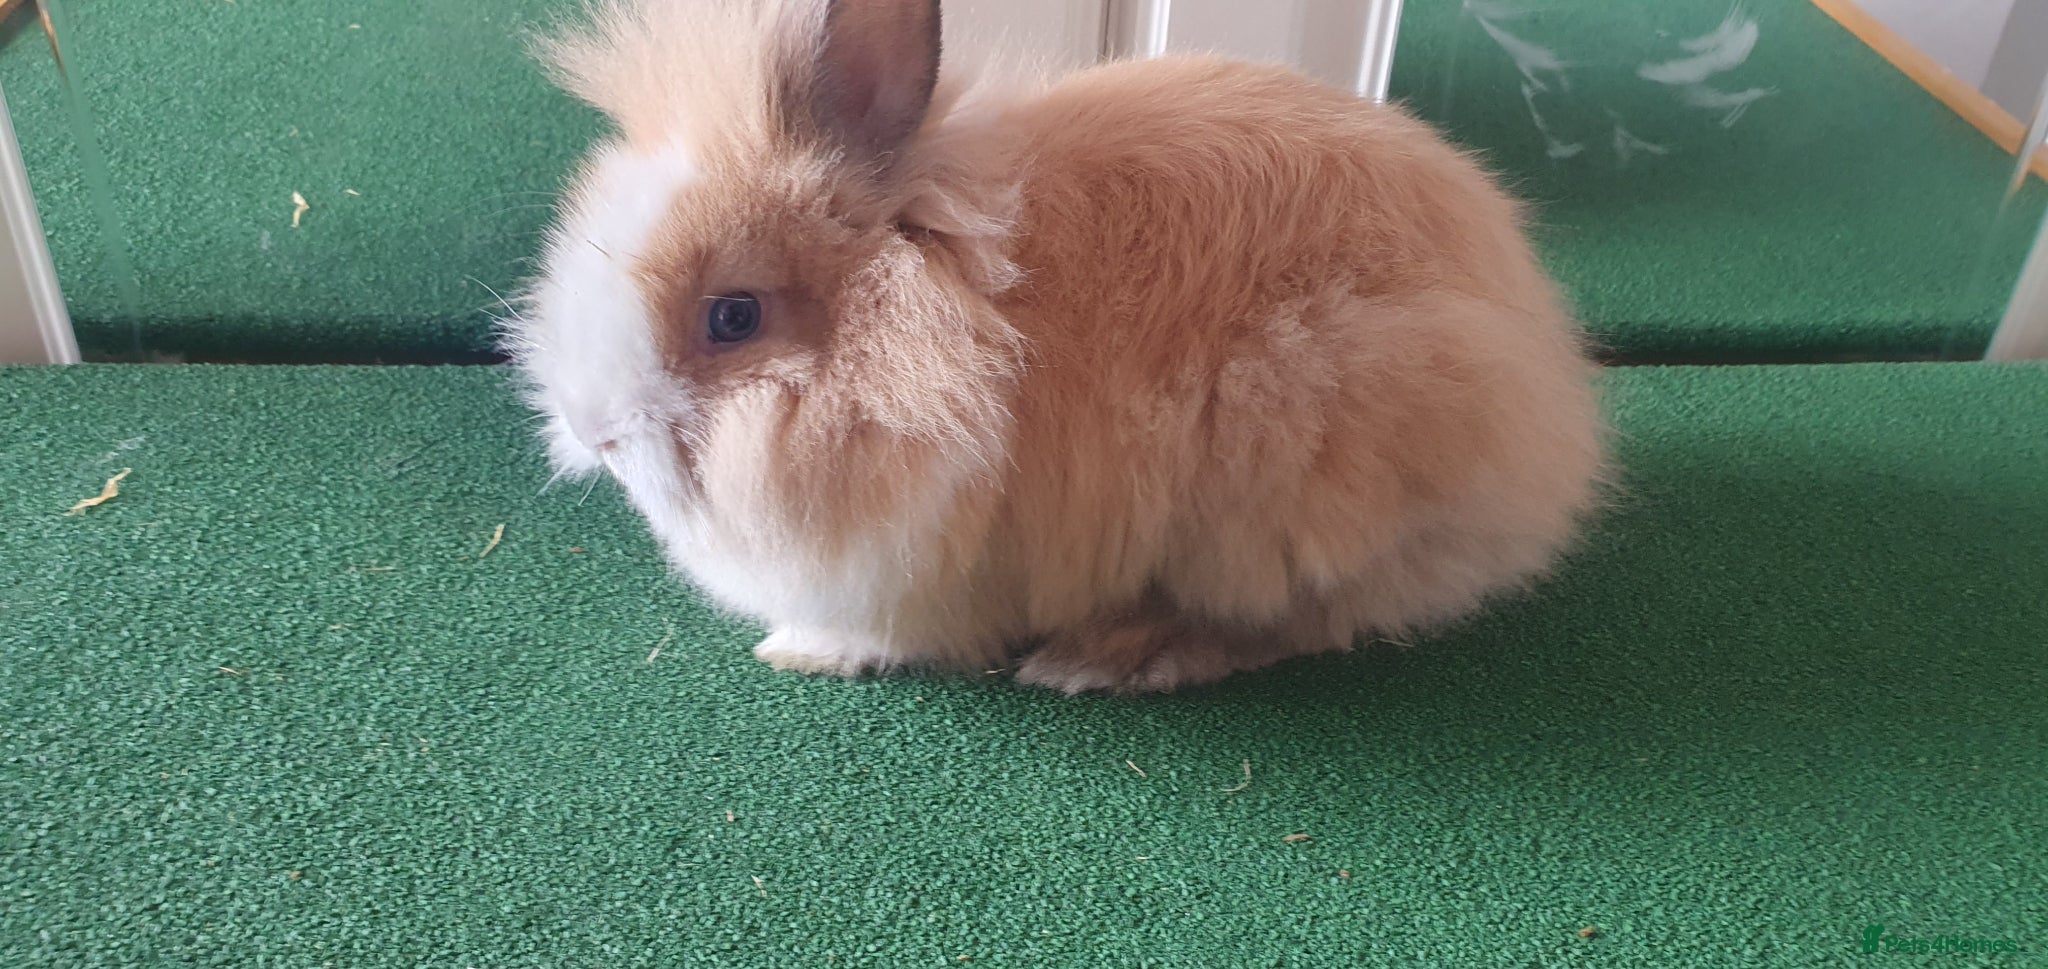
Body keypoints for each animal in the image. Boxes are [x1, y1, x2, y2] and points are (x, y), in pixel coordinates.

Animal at [504, 0, 1608, 694]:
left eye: (731, 318)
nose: (591, 430)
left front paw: (798, 651)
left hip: (1298, 450)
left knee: (1291, 619)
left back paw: (1109, 656)